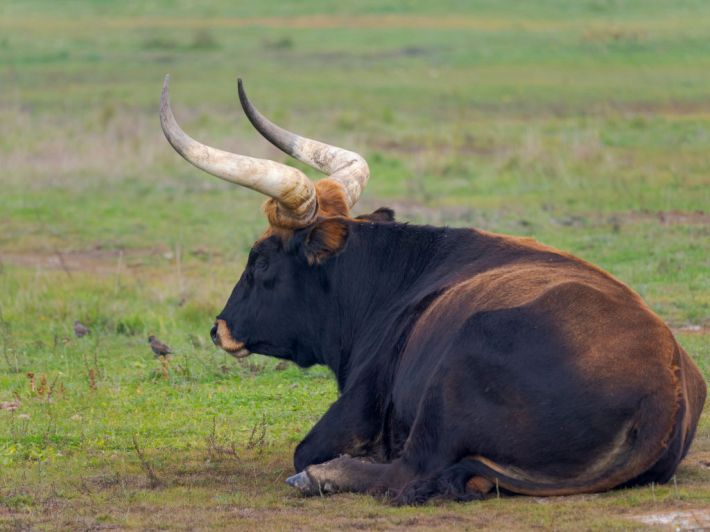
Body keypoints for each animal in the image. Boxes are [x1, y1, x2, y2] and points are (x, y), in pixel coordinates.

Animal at [160, 76, 708, 502]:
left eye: (261, 259)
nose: (219, 328)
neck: (392, 280)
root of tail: (666, 384)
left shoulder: (357, 406)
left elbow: (307, 447)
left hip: (454, 375)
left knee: (408, 469)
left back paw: (323, 477)